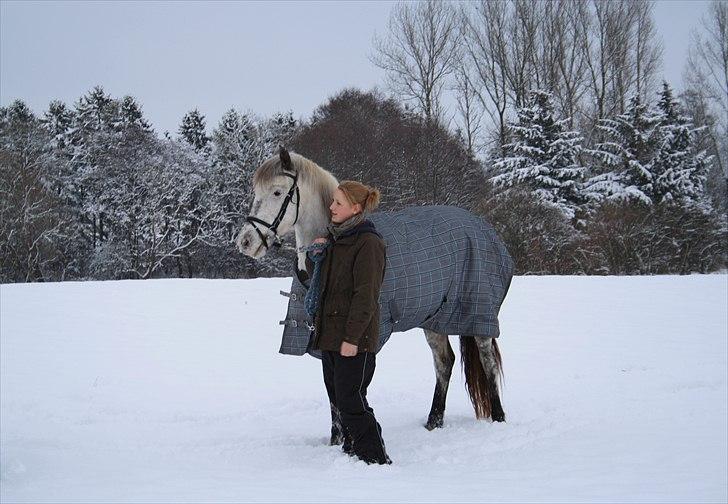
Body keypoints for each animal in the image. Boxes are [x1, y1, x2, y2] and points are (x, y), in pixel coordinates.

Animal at [236, 146, 504, 440]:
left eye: (277, 192)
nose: (245, 242)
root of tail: (483, 227)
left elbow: (352, 390)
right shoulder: (324, 341)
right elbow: (333, 395)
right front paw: (337, 441)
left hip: (478, 313)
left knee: (488, 363)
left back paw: (498, 418)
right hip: (434, 318)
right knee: (444, 363)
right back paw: (434, 422)